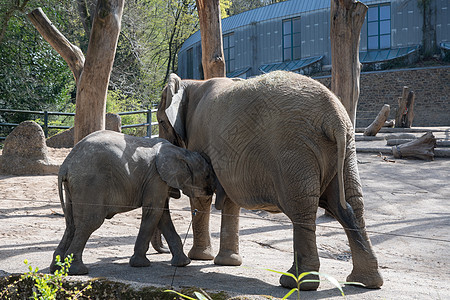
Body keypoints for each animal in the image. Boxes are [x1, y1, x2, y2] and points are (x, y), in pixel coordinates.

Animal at [50, 130, 215, 276]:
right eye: (207, 175)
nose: (164, 251)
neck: (182, 152)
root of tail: (66, 164)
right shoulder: (156, 178)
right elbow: (154, 211)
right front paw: (141, 264)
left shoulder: (158, 181)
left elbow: (162, 215)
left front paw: (183, 263)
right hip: (90, 183)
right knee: (89, 223)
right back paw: (78, 271)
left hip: (74, 187)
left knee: (71, 224)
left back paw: (57, 269)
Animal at [157, 70, 384, 290]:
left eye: (160, 121)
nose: (173, 257)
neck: (192, 84)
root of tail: (334, 118)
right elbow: (230, 199)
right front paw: (227, 263)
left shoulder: (199, 140)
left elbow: (201, 196)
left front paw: (200, 258)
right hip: (344, 151)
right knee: (350, 205)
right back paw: (364, 282)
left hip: (294, 151)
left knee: (302, 209)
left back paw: (295, 283)